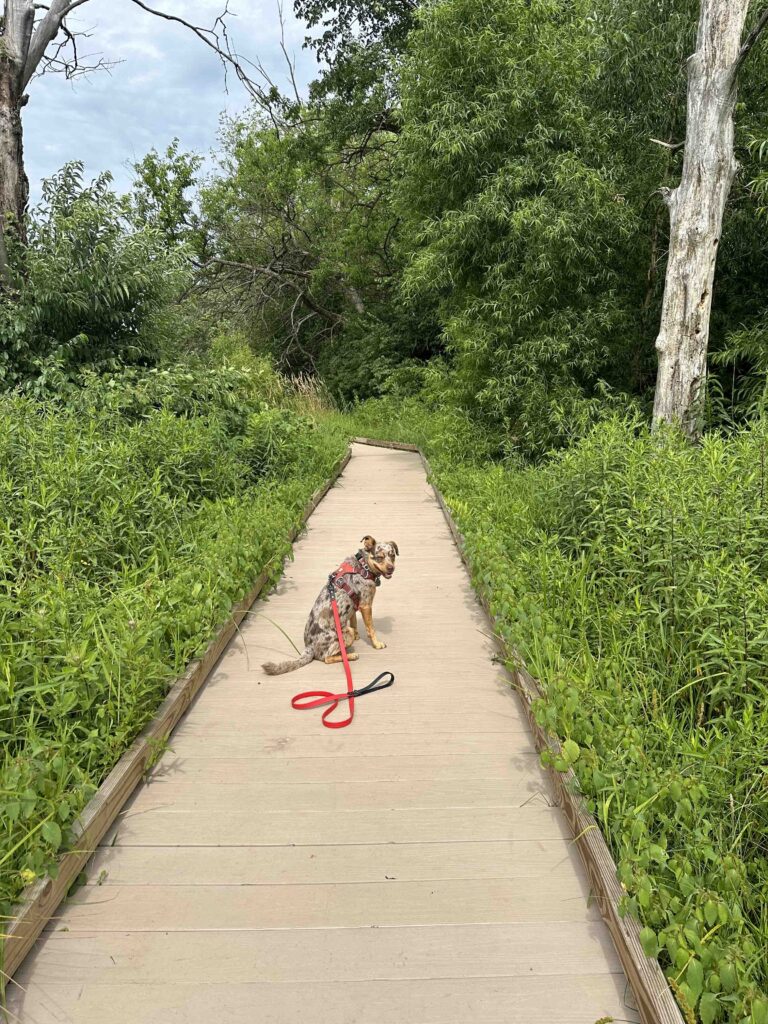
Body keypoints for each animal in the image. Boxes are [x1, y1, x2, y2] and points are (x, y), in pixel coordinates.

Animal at [262, 536, 399, 671]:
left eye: (392, 555)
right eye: (380, 557)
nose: (391, 568)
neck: (363, 566)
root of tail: (309, 648)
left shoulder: (354, 607)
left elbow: (354, 622)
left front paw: (357, 636)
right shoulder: (366, 605)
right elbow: (371, 629)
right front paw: (377, 644)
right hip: (344, 634)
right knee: (327, 658)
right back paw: (350, 655)